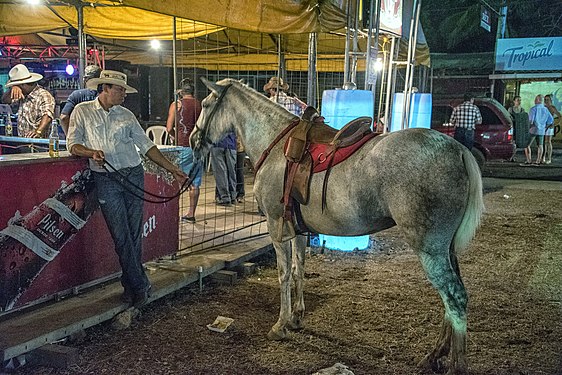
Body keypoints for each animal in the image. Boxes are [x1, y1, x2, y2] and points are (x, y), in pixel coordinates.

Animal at [190, 78, 484, 374]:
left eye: (205, 104)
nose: (192, 140)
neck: (276, 145)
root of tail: (458, 150)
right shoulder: (297, 230)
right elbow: (298, 269)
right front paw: (296, 317)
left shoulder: (276, 227)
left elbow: (283, 274)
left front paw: (280, 325)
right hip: (446, 249)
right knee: (451, 299)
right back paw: (435, 354)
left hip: (430, 250)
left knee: (455, 297)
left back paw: (455, 364)